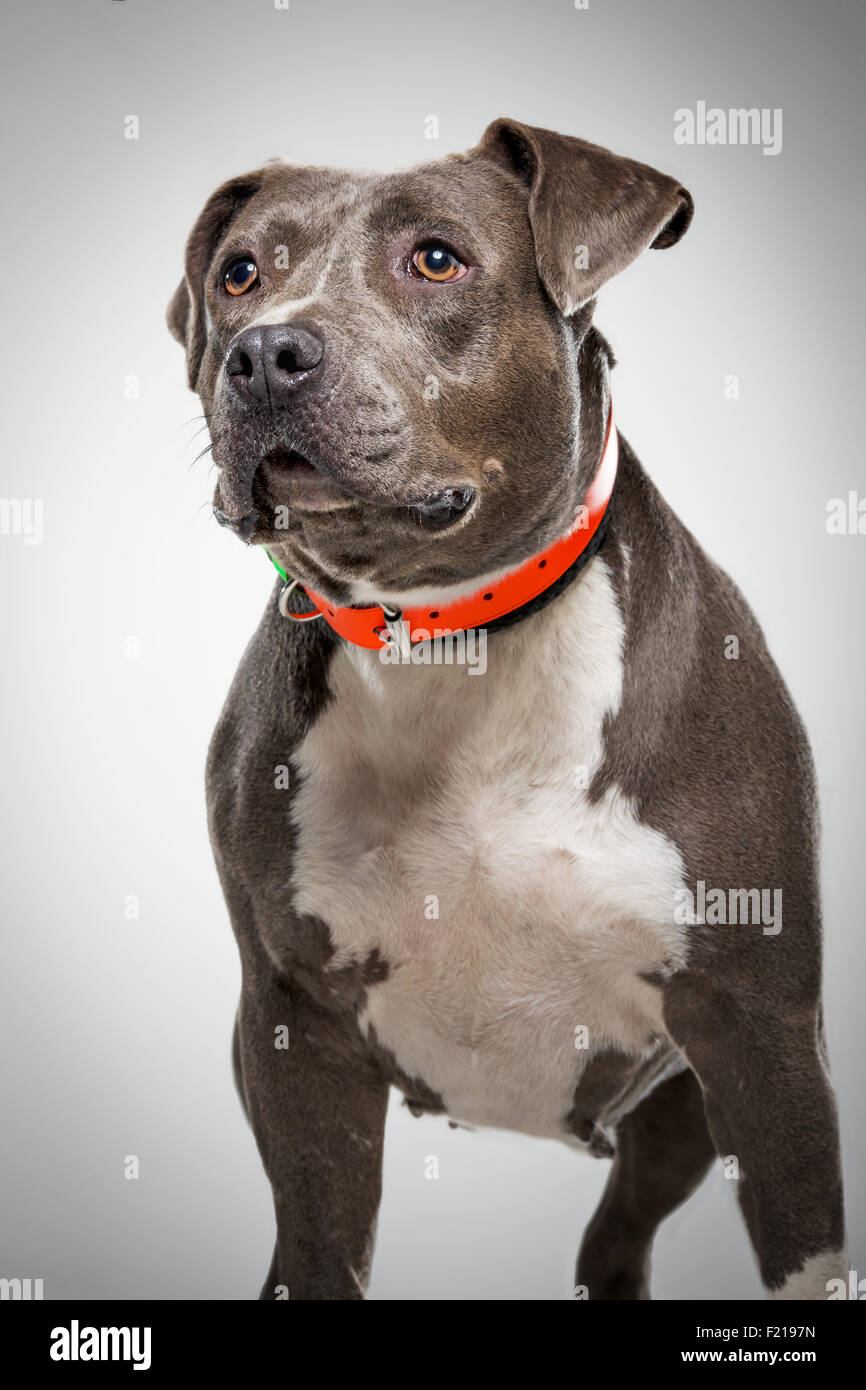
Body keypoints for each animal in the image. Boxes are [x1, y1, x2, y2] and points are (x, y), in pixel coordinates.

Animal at [167, 119, 845, 1301]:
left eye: (436, 259)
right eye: (240, 274)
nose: (261, 353)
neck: (451, 641)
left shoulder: (760, 1038)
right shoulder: (296, 1032)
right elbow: (317, 1247)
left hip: (678, 1111)